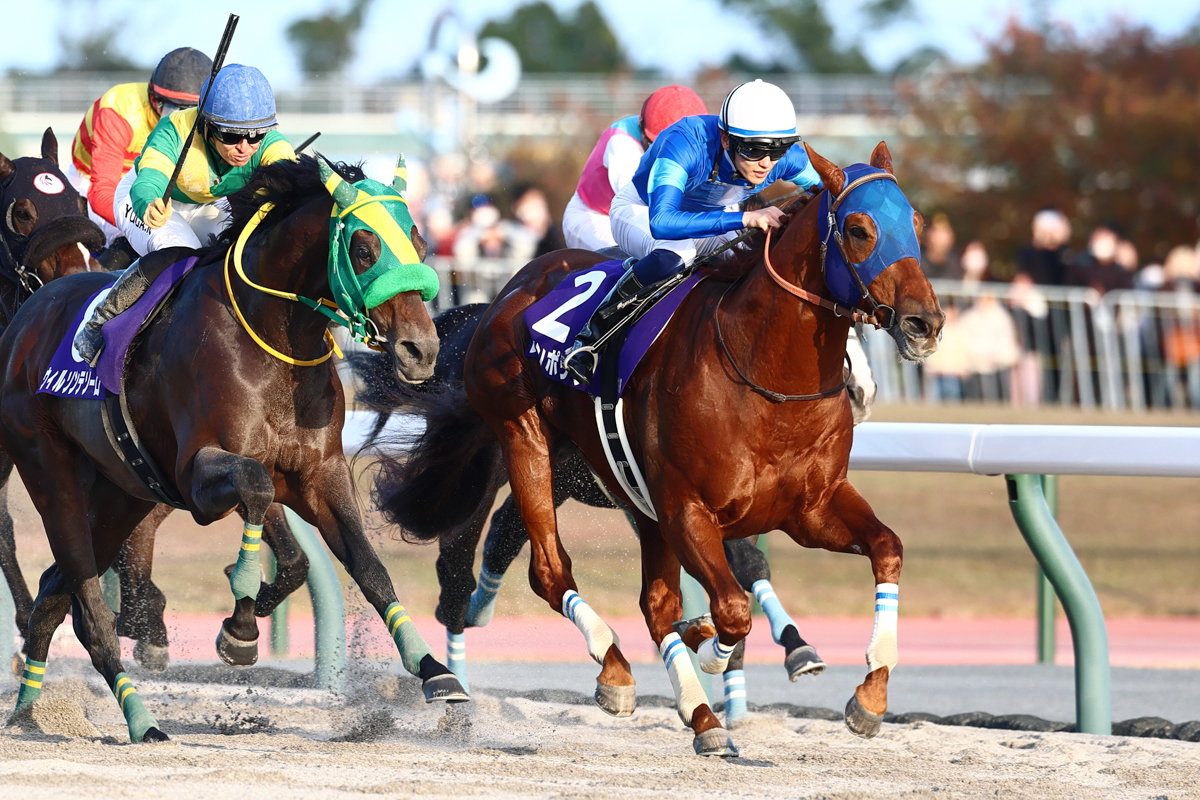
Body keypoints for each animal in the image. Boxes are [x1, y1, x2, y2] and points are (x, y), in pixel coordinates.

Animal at [0, 153, 463, 743]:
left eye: (420, 242)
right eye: (363, 247)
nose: (421, 350)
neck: (276, 342)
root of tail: (26, 313)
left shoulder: (320, 472)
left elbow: (367, 566)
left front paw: (435, 672)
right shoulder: (198, 474)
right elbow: (257, 487)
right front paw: (240, 625)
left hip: (121, 495)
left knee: (54, 591)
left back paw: (28, 712)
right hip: (49, 472)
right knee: (89, 609)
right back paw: (141, 720)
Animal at [372, 143, 936, 758]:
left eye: (915, 224)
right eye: (859, 229)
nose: (924, 323)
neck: (767, 377)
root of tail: (509, 290)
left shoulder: (809, 509)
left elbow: (885, 548)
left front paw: (870, 696)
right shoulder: (687, 508)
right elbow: (732, 607)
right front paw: (719, 649)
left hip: (625, 491)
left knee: (646, 599)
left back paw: (699, 713)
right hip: (522, 438)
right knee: (536, 569)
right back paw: (594, 673)